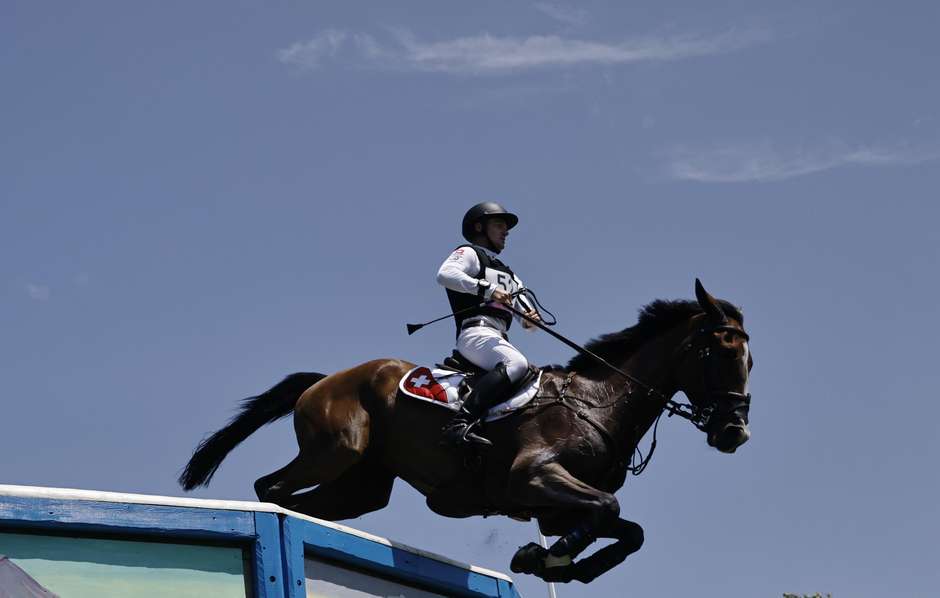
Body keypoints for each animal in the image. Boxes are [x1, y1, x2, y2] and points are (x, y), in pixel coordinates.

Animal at [182, 282, 756, 584]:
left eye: (751, 360)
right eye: (721, 351)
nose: (734, 432)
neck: (599, 402)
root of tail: (325, 379)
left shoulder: (557, 509)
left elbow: (627, 530)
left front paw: (558, 565)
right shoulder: (531, 478)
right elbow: (609, 509)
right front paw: (546, 558)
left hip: (362, 487)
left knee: (309, 503)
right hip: (334, 450)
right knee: (272, 488)